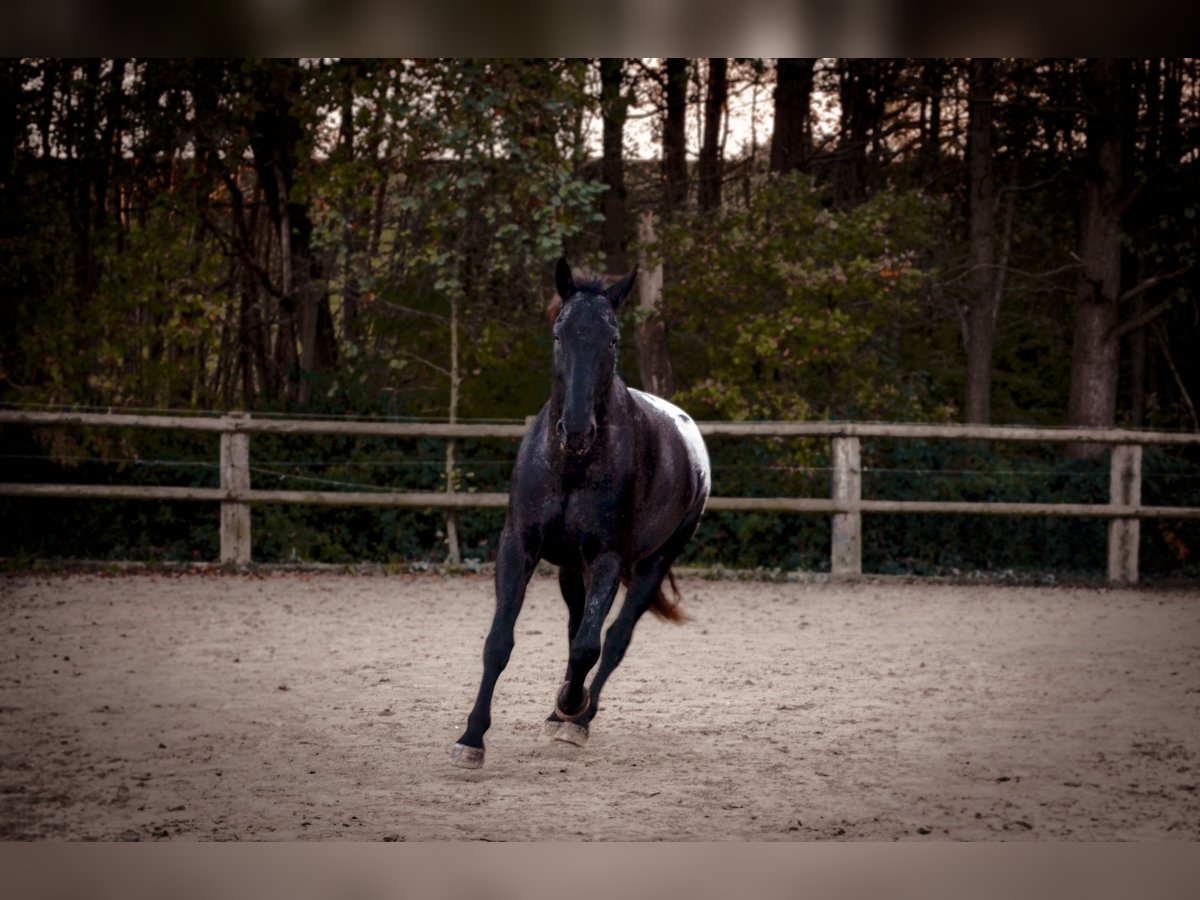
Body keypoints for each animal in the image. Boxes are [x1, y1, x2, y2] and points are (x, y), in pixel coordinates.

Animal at [453, 255, 705, 768]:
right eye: (558, 334)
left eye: (612, 338)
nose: (576, 430)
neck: (571, 466)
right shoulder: (519, 546)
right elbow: (500, 642)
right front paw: (472, 738)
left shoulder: (608, 558)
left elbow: (590, 646)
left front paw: (571, 707)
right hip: (573, 568)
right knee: (576, 629)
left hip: (655, 561)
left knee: (615, 639)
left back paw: (577, 718)